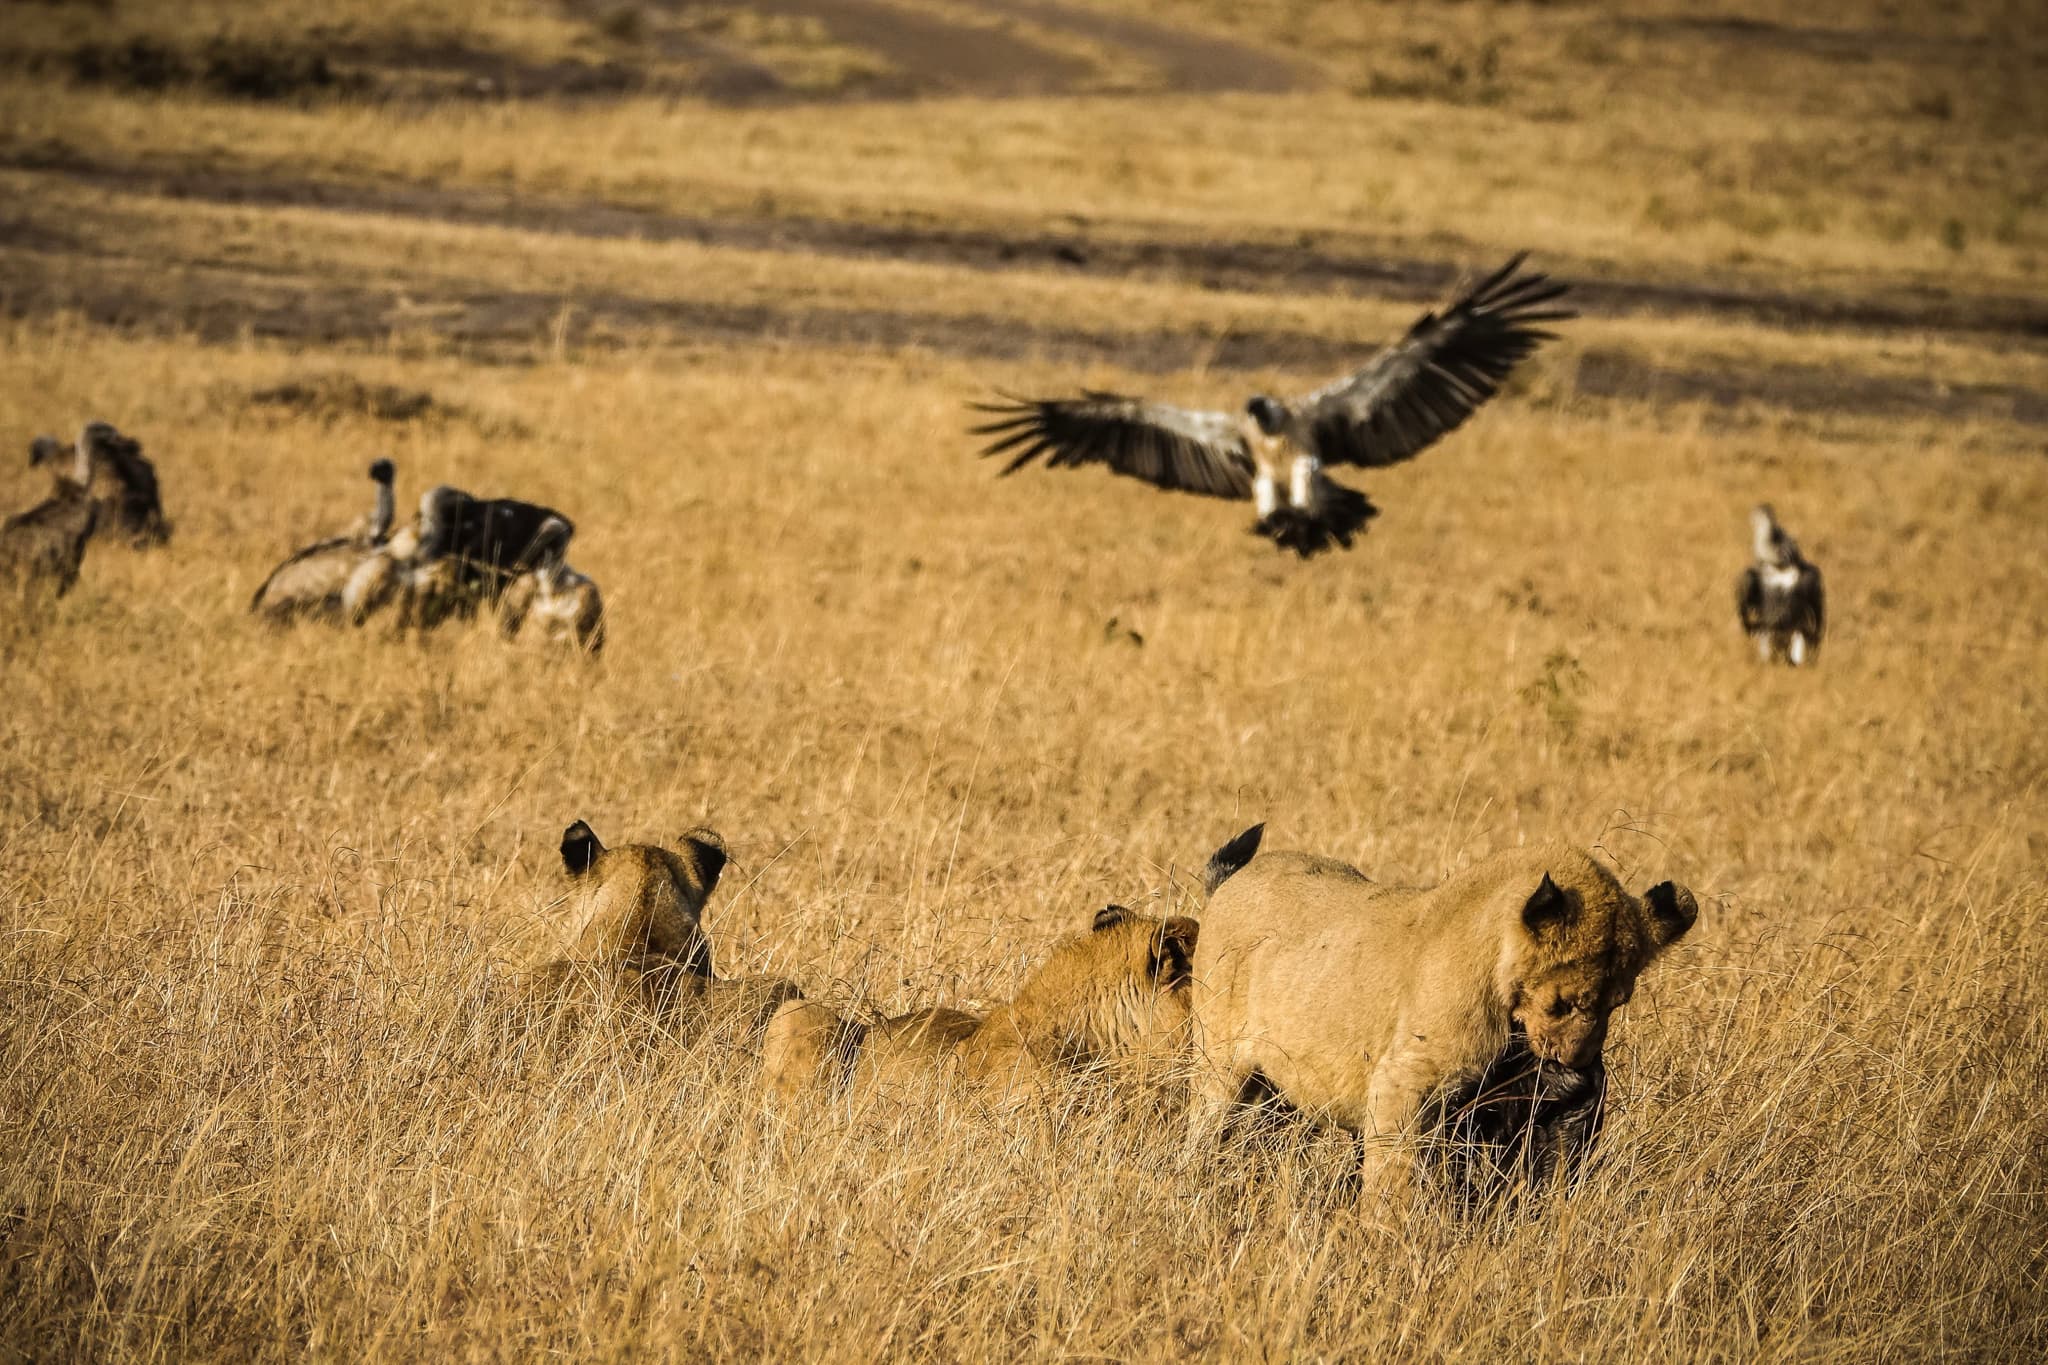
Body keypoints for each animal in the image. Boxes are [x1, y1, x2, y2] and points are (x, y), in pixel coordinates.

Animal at [1187, 826, 1695, 1203]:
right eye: (1563, 1003)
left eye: (1617, 1004)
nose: (1576, 1062)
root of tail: (1230, 882)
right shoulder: (1406, 1084)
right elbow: (1398, 1181)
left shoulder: (1555, 1106)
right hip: (1222, 1067)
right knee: (1205, 1127)